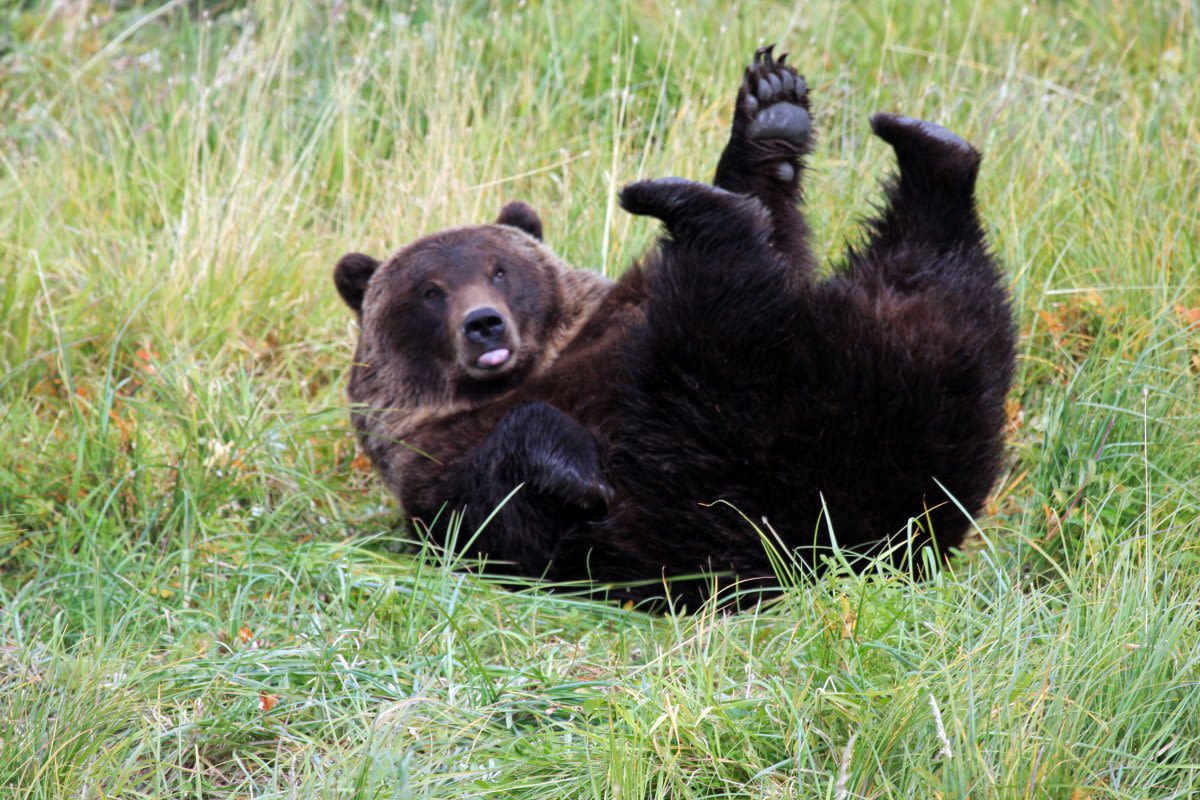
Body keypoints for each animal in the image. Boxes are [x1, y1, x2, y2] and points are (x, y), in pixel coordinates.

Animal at [333, 48, 1017, 606]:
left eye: (500, 270)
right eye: (428, 291)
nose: (484, 326)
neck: (533, 369)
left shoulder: (618, 315)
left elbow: (779, 228)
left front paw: (771, 110)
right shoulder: (437, 475)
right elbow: (502, 505)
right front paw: (575, 469)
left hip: (906, 376)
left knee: (941, 279)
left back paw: (921, 144)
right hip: (727, 445)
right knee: (729, 315)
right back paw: (691, 205)